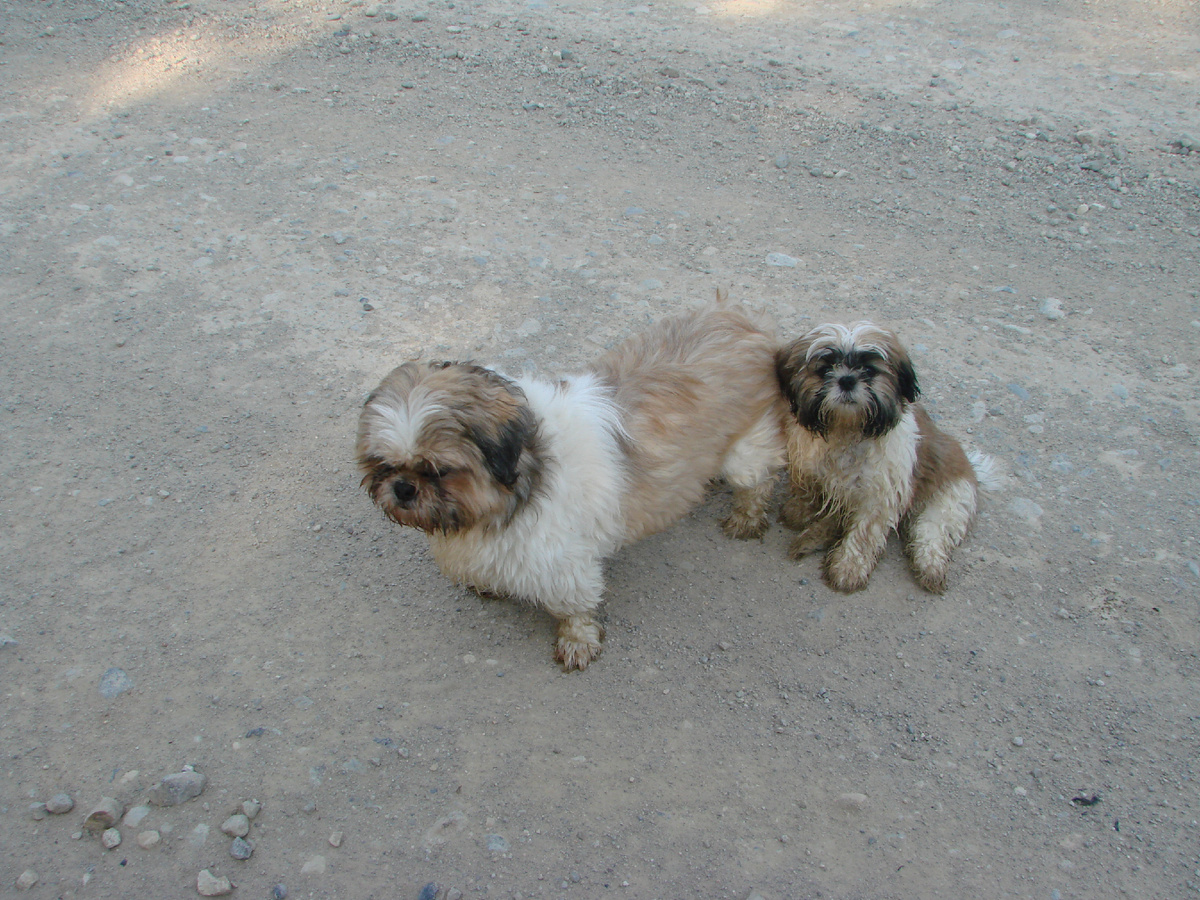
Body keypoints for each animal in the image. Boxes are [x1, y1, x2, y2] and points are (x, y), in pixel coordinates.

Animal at [355, 301, 787, 672]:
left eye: (438, 470)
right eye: (382, 464)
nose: (403, 488)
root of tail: (746, 319)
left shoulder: (563, 563)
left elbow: (573, 608)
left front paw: (577, 640)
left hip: (744, 453)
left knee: (758, 479)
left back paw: (746, 516)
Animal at [772, 321, 998, 595]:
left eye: (869, 370)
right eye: (825, 369)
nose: (847, 380)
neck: (847, 430)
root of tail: (972, 469)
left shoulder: (879, 494)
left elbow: (863, 534)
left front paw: (848, 568)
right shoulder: (807, 465)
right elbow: (806, 490)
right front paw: (799, 511)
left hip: (952, 498)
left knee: (932, 531)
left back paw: (930, 566)